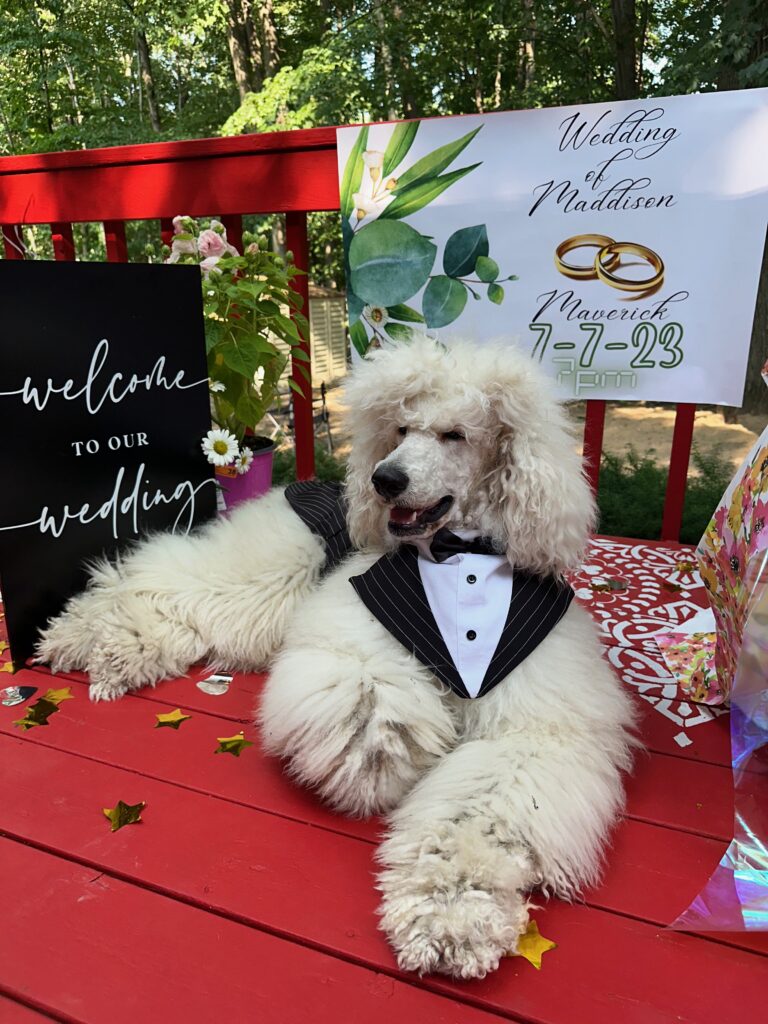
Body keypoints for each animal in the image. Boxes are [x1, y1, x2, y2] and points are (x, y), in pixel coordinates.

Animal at [38, 337, 636, 979]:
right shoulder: (354, 632)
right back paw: (78, 636)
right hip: (273, 569)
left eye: (456, 434)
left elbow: (480, 816)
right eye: (400, 428)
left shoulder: (535, 731)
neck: (456, 555)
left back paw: (114, 651)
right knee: (154, 574)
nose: (385, 479)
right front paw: (384, 759)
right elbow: (368, 705)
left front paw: (450, 917)